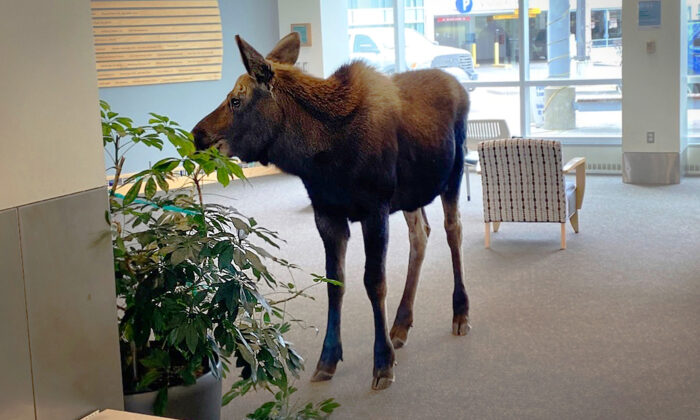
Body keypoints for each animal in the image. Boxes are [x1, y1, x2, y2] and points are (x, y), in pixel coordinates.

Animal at [193, 32, 470, 390]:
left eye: (236, 100)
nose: (197, 135)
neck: (320, 158)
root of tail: (459, 85)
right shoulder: (327, 214)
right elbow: (334, 282)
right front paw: (327, 359)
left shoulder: (375, 208)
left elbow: (374, 282)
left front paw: (382, 363)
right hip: (412, 194)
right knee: (421, 235)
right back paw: (401, 324)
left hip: (453, 172)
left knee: (453, 231)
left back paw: (460, 312)